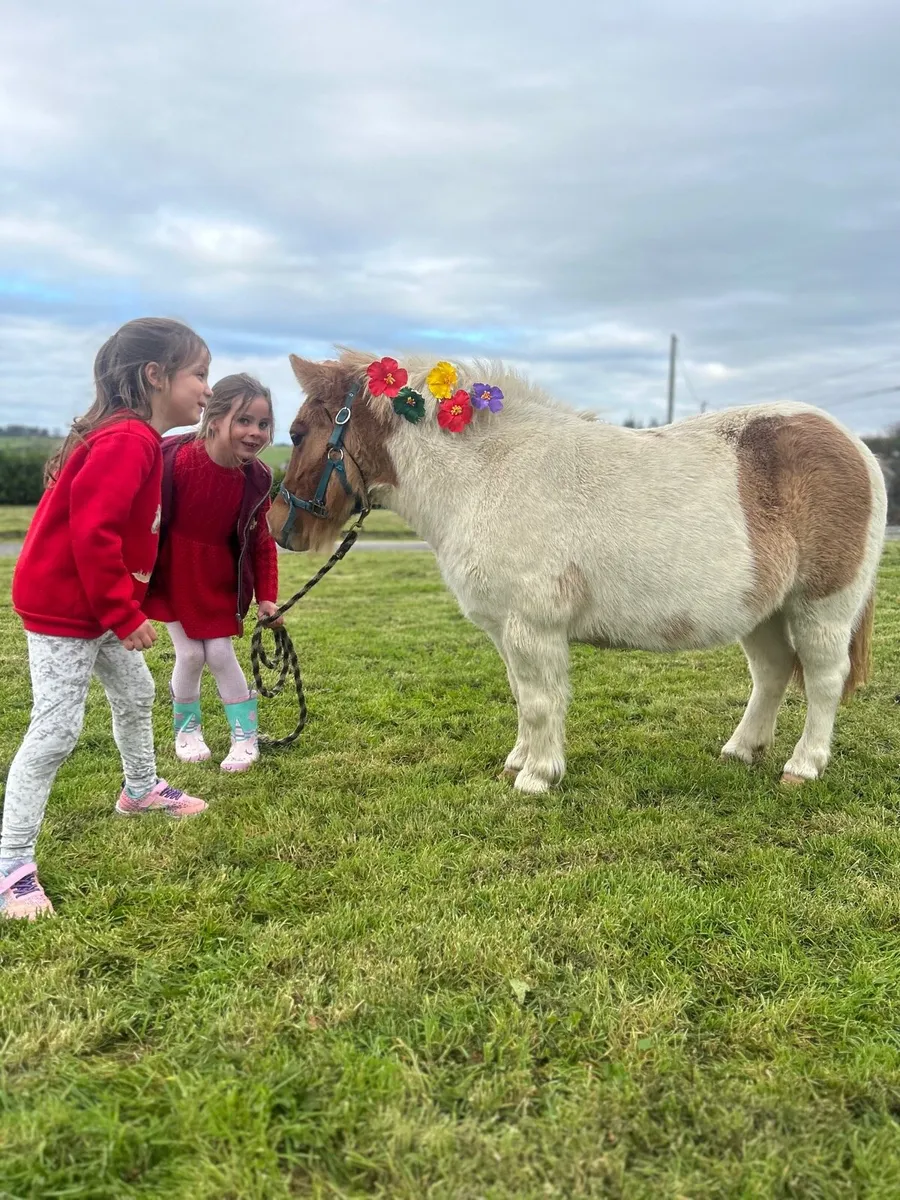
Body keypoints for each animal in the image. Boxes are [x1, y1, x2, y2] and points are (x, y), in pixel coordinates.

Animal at [270, 348, 887, 793]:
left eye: (297, 433)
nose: (279, 528)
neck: (486, 475)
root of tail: (856, 445)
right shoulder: (507, 631)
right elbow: (523, 698)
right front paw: (517, 762)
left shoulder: (532, 627)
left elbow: (542, 701)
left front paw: (537, 778)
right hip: (762, 612)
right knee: (773, 673)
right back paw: (741, 751)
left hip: (820, 608)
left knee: (824, 680)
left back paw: (803, 767)